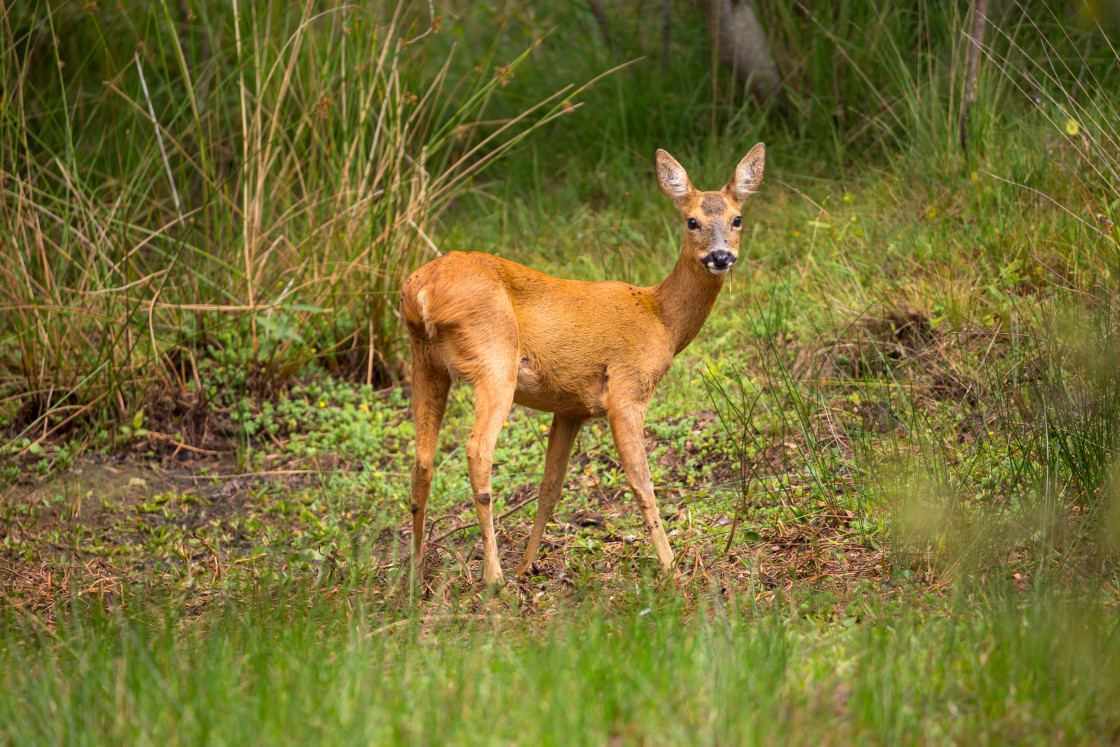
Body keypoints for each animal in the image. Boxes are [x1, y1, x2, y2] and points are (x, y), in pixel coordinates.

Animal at [398, 143, 766, 586]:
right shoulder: (627, 389)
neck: (661, 317)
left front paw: (528, 565)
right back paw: (493, 577)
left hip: (425, 362)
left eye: (737, 218)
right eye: (691, 220)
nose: (720, 256)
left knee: (421, 461)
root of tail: (421, 292)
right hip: (494, 359)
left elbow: (550, 488)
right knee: (477, 451)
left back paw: (417, 575)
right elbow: (642, 483)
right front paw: (672, 570)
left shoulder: (570, 409)